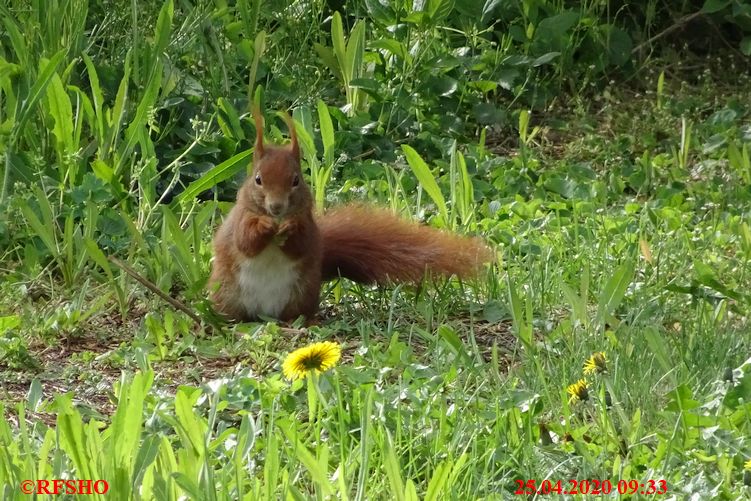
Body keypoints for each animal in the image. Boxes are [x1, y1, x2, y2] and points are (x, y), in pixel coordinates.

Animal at [209, 109, 496, 320]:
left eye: (296, 180)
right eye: (257, 179)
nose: (276, 207)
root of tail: (265, 314)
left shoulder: (309, 224)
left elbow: (301, 243)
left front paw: (290, 228)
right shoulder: (240, 219)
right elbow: (244, 241)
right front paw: (264, 226)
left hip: (301, 293)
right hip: (228, 293)